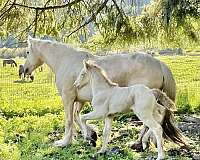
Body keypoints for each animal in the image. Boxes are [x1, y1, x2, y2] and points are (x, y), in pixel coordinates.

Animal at [23, 36, 177, 149]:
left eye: (28, 52)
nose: (24, 69)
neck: (65, 61)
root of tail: (159, 64)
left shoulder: (68, 98)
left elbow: (70, 120)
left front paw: (65, 142)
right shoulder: (80, 100)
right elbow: (78, 116)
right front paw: (90, 136)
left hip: (143, 105)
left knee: (150, 122)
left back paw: (139, 143)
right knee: (159, 116)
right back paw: (146, 142)